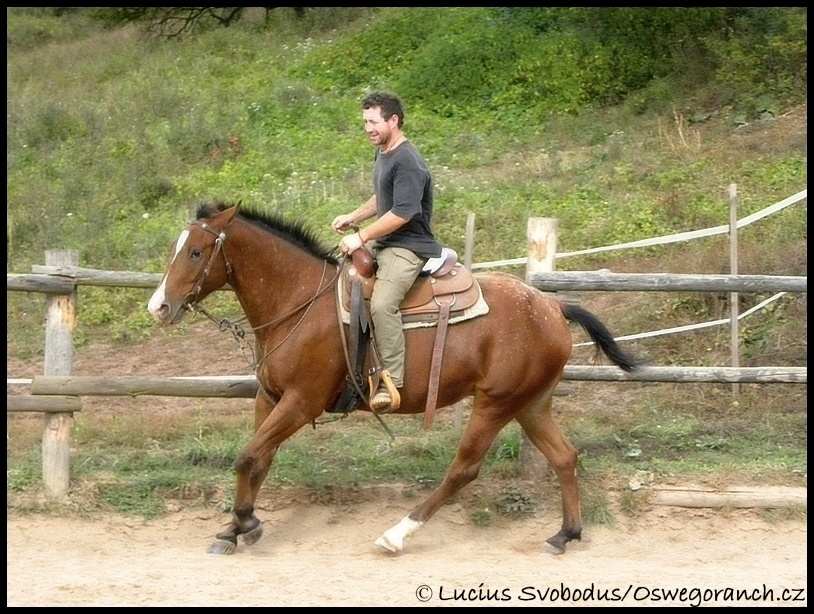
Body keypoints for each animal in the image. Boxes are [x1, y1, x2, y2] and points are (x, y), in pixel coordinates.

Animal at [148, 201, 644, 560]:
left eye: (196, 252)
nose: (159, 307)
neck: (299, 302)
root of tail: (552, 306)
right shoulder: (269, 399)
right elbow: (257, 461)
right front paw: (232, 529)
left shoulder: (300, 402)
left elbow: (248, 456)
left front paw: (245, 525)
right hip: (531, 403)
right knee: (564, 457)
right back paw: (565, 534)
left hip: (496, 403)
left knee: (464, 469)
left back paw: (397, 534)